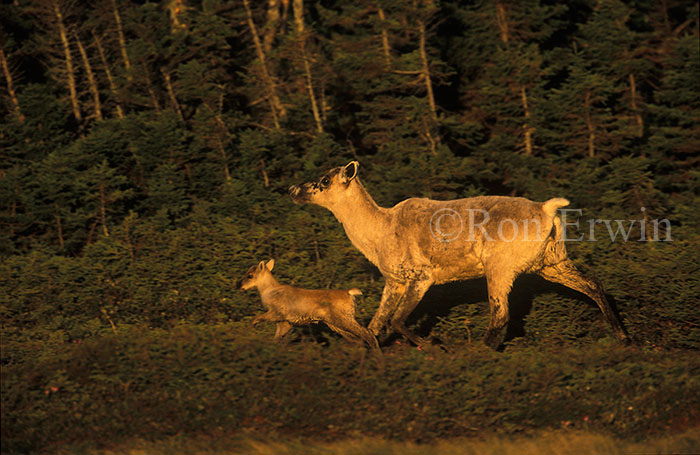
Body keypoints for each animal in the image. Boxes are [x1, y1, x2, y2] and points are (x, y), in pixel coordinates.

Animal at [237, 260, 380, 350]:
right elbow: (276, 339)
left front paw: (248, 331)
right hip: (335, 323)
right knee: (357, 338)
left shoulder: (277, 313)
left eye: (250, 275)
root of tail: (349, 293)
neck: (269, 292)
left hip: (343, 318)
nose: (239, 286)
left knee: (366, 332)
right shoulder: (285, 322)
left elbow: (255, 318)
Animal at [288, 161, 632, 350]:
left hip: (500, 266)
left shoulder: (422, 275)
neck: (379, 232)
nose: (293, 189)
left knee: (500, 314)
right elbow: (374, 326)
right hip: (551, 261)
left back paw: (476, 352)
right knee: (593, 284)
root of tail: (548, 211)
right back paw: (623, 337)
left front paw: (432, 345)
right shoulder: (394, 281)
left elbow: (397, 321)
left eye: (324, 181)